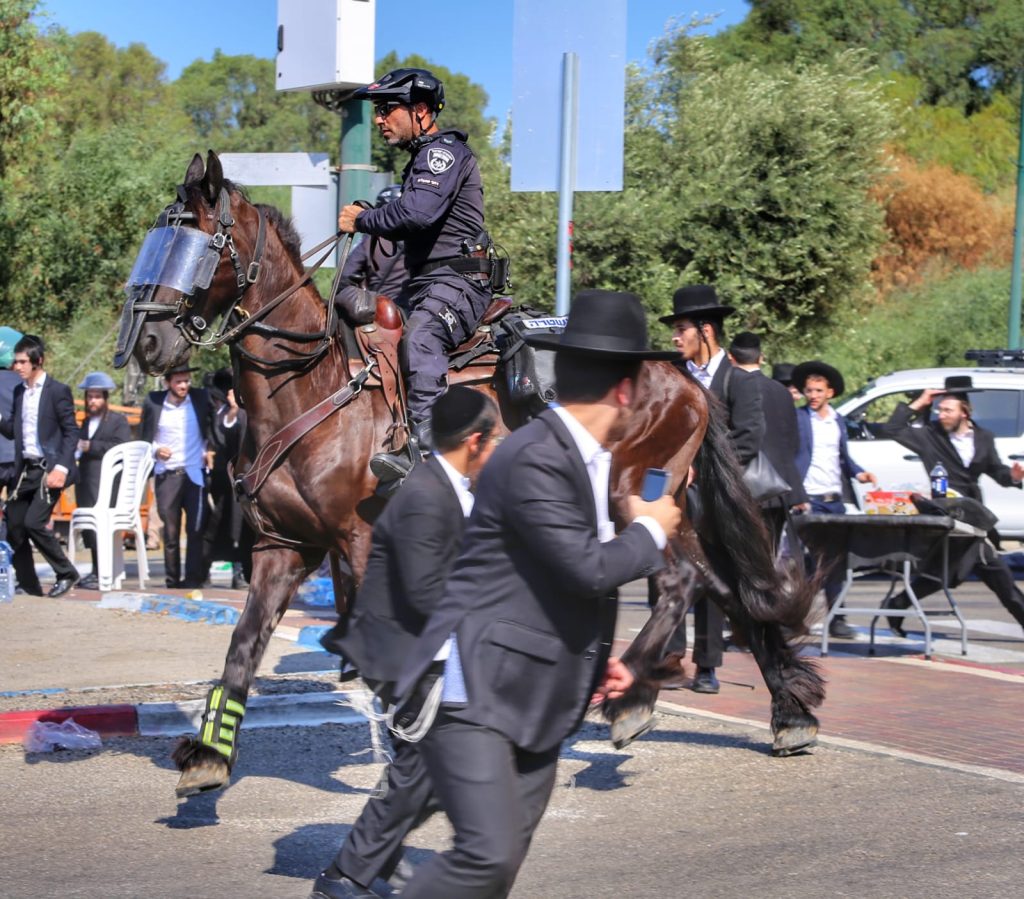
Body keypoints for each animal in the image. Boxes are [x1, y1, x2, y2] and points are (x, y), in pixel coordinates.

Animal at [119, 151, 823, 798]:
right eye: (157, 247)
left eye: (198, 245)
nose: (148, 344)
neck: (314, 385)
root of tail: (685, 377)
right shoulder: (282, 547)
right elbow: (242, 647)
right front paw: (209, 755)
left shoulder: (362, 544)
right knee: (723, 586)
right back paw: (783, 712)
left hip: (633, 496)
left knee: (680, 581)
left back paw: (629, 699)